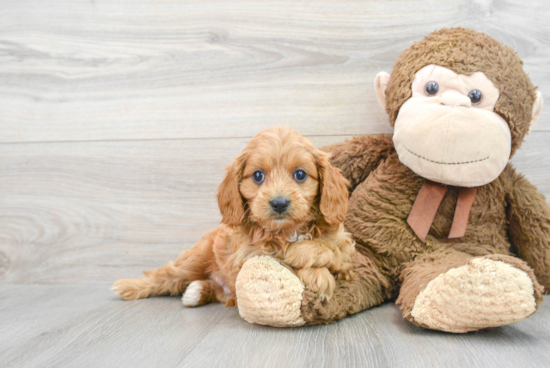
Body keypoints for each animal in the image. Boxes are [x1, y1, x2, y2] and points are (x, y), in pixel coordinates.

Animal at [113, 126, 358, 308]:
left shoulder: (345, 249)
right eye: (258, 176)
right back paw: (128, 285)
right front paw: (313, 271)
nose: (279, 203)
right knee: (165, 275)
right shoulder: (249, 258)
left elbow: (332, 250)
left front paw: (306, 257)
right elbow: (279, 260)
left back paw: (197, 291)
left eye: (300, 174)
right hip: (194, 260)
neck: (286, 232)